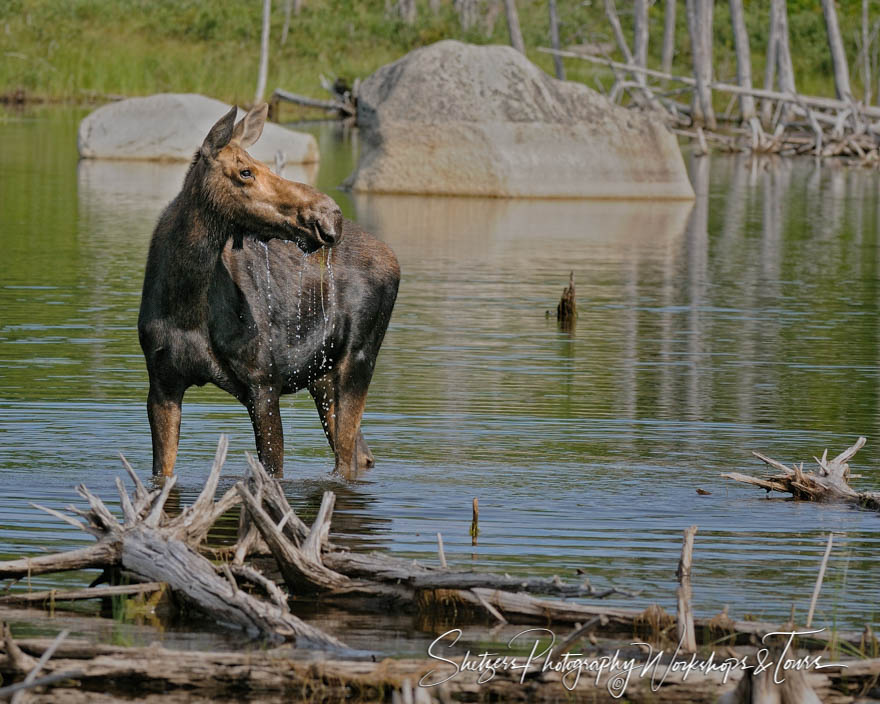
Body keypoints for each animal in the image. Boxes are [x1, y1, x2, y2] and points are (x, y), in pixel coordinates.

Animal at [139, 104, 400, 478]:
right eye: (245, 171)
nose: (329, 215)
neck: (184, 302)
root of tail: (393, 258)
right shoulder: (162, 385)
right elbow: (163, 473)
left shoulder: (263, 384)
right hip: (322, 377)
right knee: (362, 456)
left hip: (359, 360)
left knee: (346, 460)